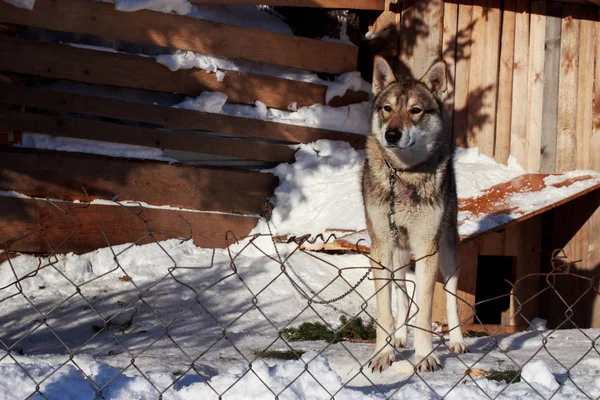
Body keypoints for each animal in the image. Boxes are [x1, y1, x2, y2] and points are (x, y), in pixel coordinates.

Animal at [360, 55, 468, 372]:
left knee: (451, 299)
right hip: (397, 254)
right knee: (402, 293)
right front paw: (382, 354)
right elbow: (386, 310)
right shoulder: (381, 248)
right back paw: (398, 337)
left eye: (415, 110)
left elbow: (426, 308)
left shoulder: (427, 247)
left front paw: (425, 356)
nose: (391, 134)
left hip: (448, 252)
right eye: (387, 108)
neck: (404, 175)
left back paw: (458, 342)